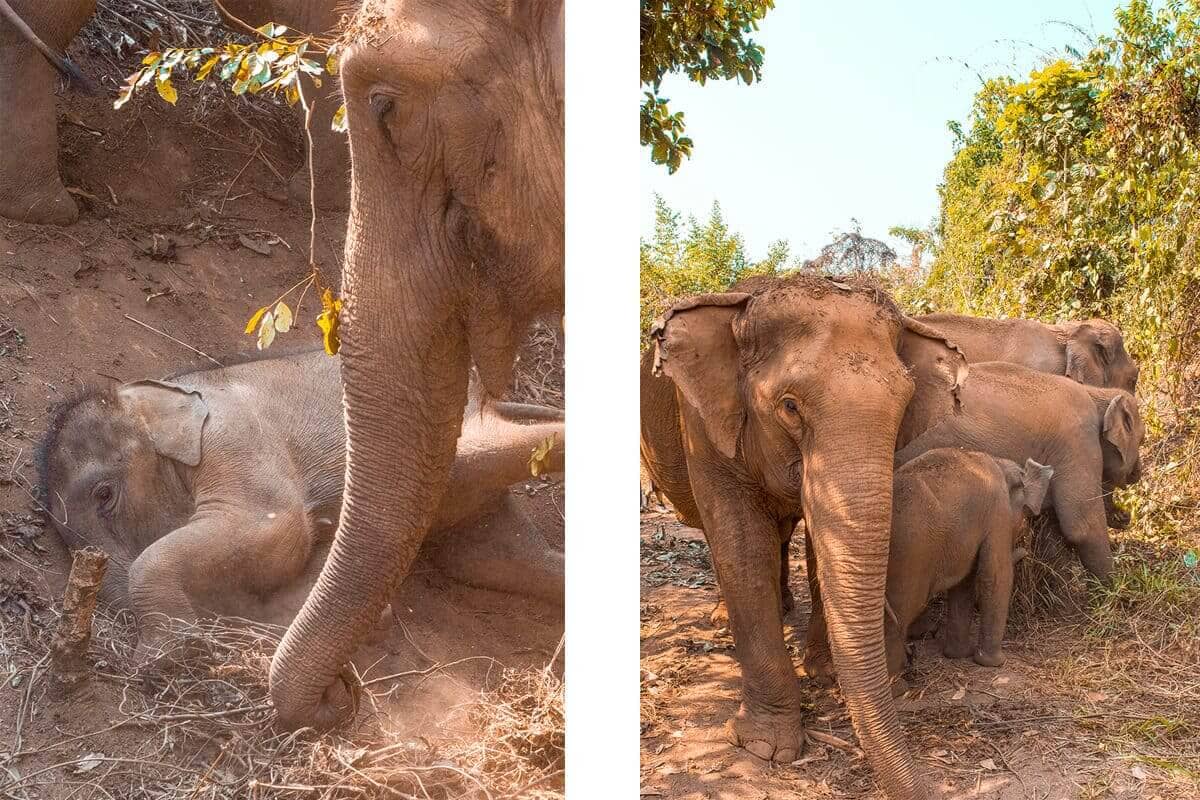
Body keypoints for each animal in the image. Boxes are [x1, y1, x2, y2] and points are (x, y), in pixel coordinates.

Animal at [37, 348, 564, 641]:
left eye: (105, 495)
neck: (163, 392)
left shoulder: (235, 437)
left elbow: (275, 528)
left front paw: (164, 655)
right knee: (493, 558)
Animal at [641, 273, 968, 800]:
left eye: (904, 409)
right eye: (789, 406)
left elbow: (820, 544)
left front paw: (825, 673)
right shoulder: (702, 427)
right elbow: (740, 544)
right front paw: (765, 747)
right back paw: (723, 619)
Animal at [884, 449, 1052, 679]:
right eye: (1024, 518)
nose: (1026, 552)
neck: (1000, 463)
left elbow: (964, 584)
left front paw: (958, 655)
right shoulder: (997, 513)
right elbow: (996, 576)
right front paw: (994, 663)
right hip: (909, 555)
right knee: (899, 614)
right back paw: (896, 682)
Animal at [894, 361, 1144, 580]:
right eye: (1141, 440)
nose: (1126, 516)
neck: (1097, 393)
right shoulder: (1078, 441)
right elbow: (1082, 526)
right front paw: (1114, 588)